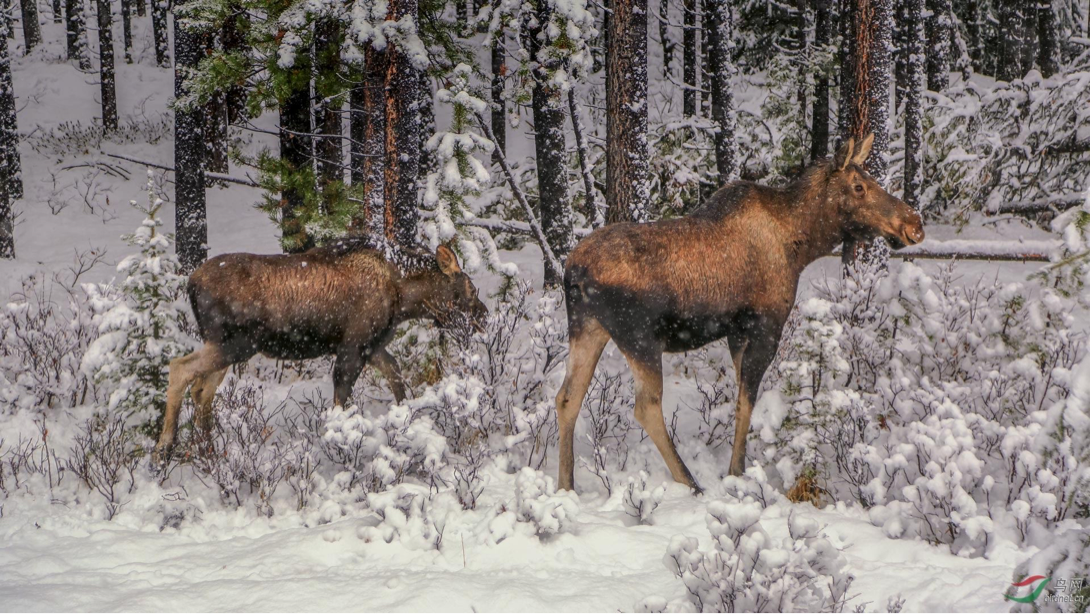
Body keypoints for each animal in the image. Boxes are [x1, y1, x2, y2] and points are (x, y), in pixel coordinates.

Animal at [155, 239, 488, 462]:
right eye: (471, 289)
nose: (483, 317)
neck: (403, 297)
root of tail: (191, 284)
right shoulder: (353, 345)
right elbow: (342, 397)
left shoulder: (372, 346)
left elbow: (396, 376)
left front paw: (407, 421)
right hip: (234, 344)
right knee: (179, 369)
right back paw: (164, 450)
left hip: (225, 347)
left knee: (202, 390)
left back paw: (209, 452)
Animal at [558, 135, 924, 495]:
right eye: (859, 186)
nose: (914, 224)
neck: (802, 244)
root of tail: (574, 271)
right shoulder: (766, 323)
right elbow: (746, 401)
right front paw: (737, 471)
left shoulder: (736, 332)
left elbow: (740, 397)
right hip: (639, 336)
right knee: (646, 406)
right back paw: (691, 484)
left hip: (587, 327)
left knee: (567, 397)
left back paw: (566, 486)